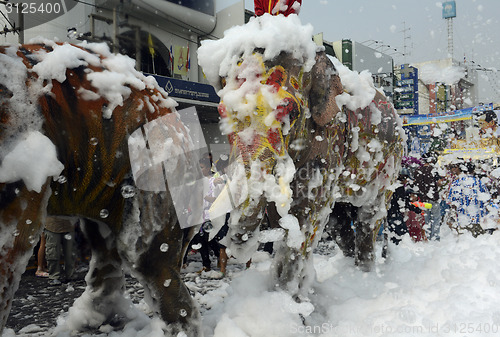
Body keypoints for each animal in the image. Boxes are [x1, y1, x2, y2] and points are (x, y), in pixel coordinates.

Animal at [197, 21, 404, 296]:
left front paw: (286, 297)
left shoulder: (330, 136)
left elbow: (306, 211)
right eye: (222, 113)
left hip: (392, 160)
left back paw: (365, 276)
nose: (232, 244)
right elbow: (285, 216)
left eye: (291, 113)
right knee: (338, 221)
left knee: (370, 215)